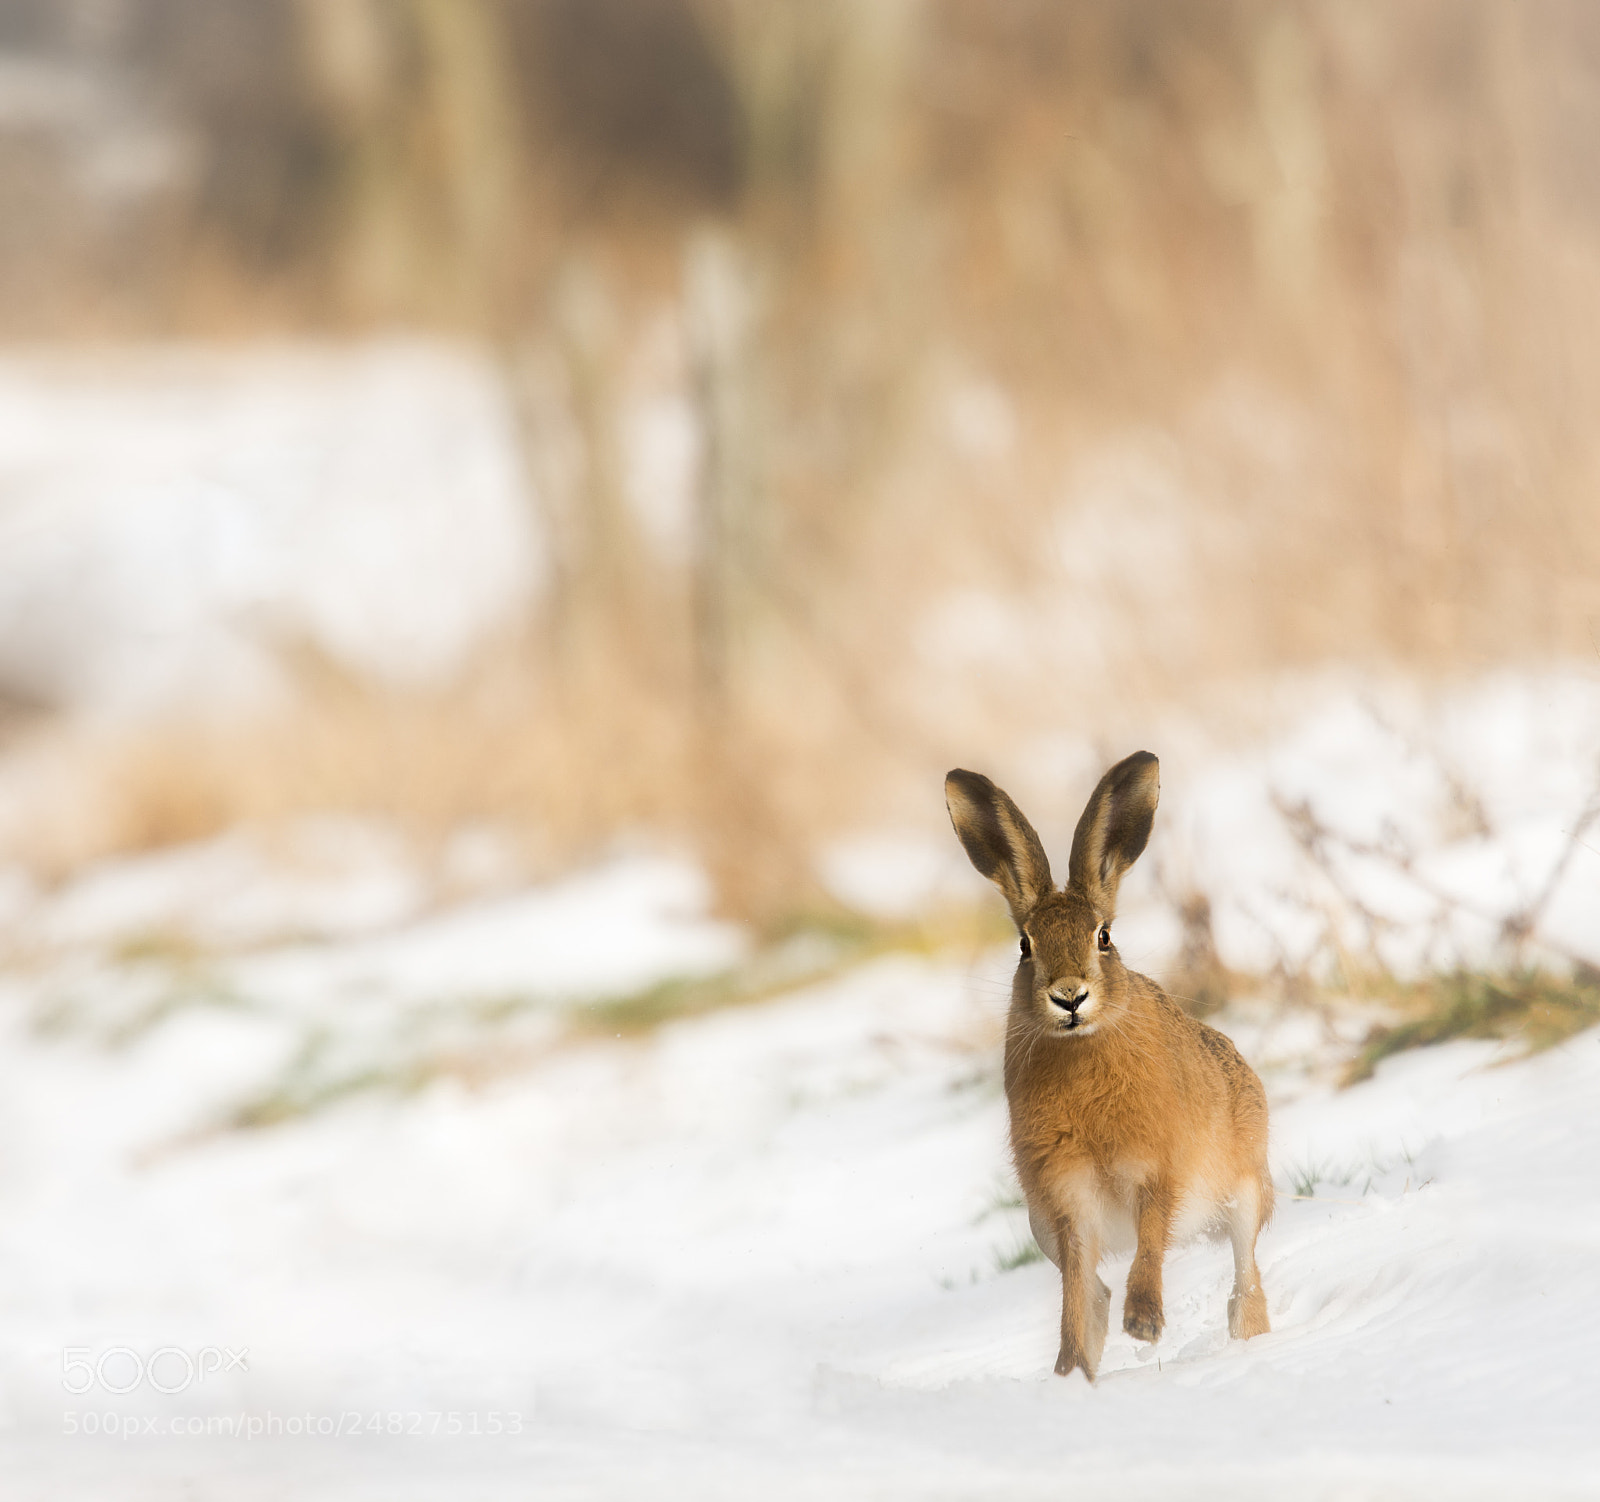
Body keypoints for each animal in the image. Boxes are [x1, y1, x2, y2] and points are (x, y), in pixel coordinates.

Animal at [945, 751, 1272, 1381]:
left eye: (1104, 936)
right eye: (1024, 945)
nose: (1069, 997)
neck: (1083, 1050)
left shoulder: (1158, 1170)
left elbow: (1149, 1242)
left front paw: (1144, 1323)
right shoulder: (1067, 1197)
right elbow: (1079, 1289)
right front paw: (1075, 1368)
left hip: (1245, 1192)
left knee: (1246, 1282)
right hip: (1043, 1226)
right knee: (1091, 1292)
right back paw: (1074, 1373)